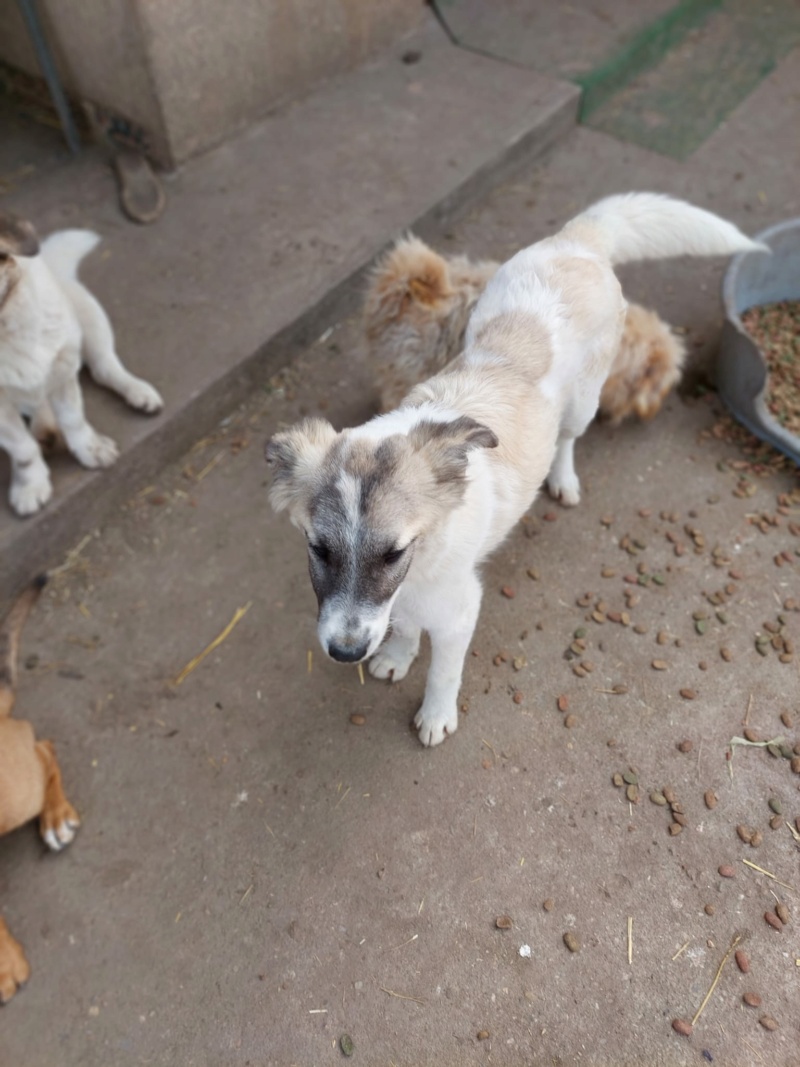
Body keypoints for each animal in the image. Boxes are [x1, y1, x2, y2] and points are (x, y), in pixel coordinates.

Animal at [0, 210, 163, 514]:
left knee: (104, 368)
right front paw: (30, 484)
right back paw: (44, 427)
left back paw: (139, 392)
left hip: (89, 317)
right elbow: (23, 449)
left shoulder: (63, 370)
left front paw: (92, 449)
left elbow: (73, 419)